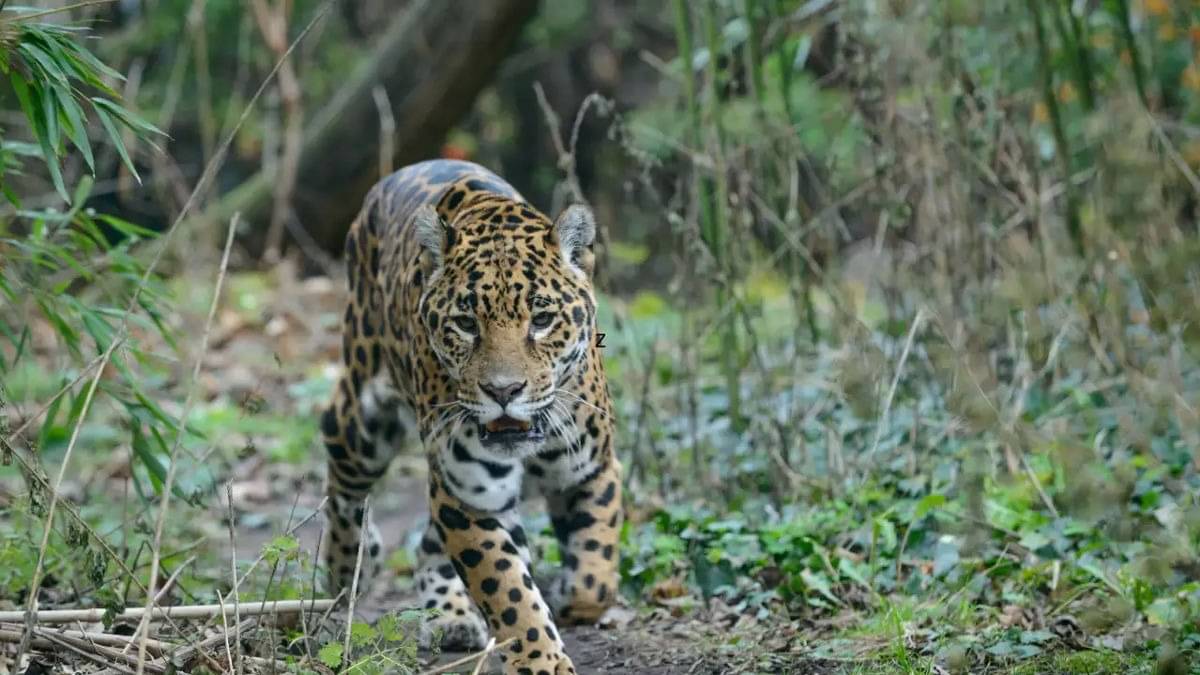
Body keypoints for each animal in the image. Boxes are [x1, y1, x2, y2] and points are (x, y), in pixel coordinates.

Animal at [319, 159, 622, 675]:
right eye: (465, 324)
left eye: (542, 320)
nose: (503, 391)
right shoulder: (469, 496)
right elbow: (508, 591)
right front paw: (542, 662)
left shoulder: (594, 469)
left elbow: (595, 574)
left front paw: (568, 596)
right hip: (364, 418)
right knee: (341, 474)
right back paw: (349, 566)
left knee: (426, 542)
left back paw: (451, 616)